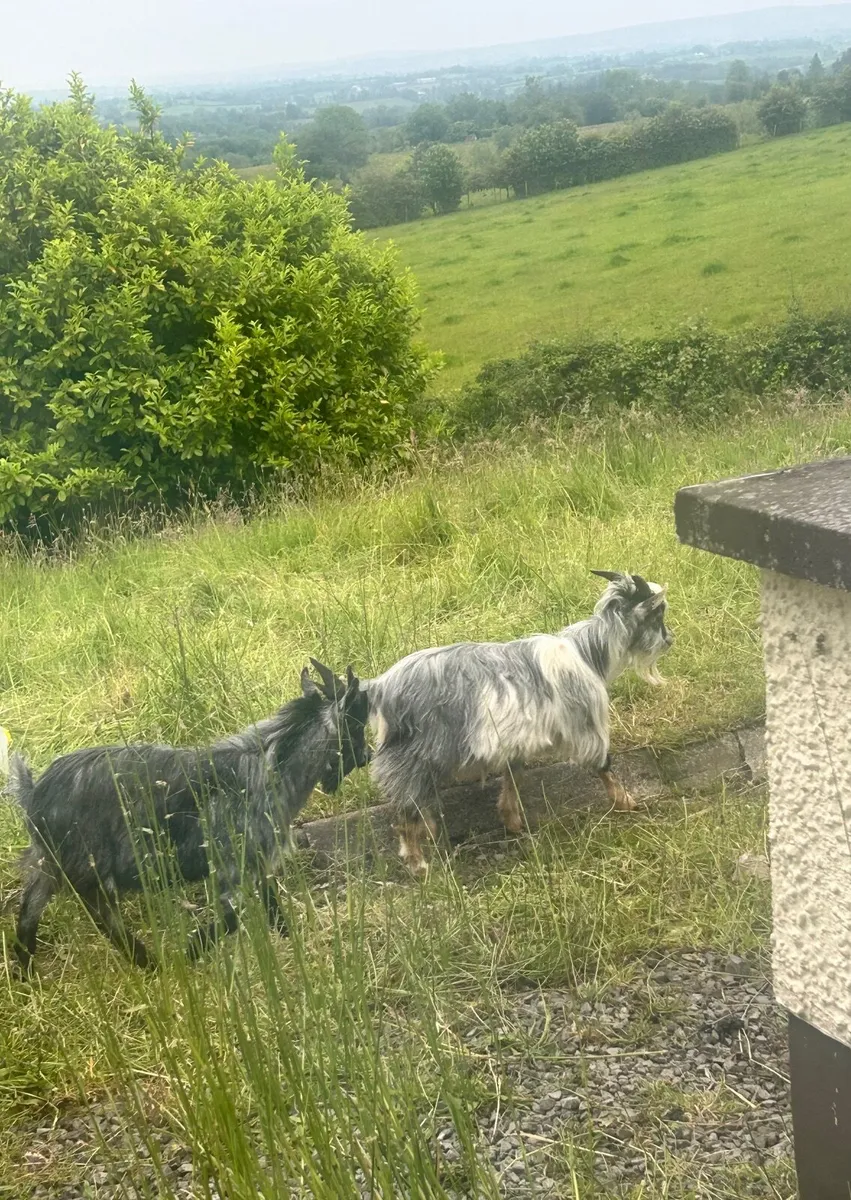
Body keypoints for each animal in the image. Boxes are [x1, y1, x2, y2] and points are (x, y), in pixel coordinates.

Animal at [8, 660, 369, 971]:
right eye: (356, 724)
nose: (367, 756)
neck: (270, 767)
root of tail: (34, 795)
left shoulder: (257, 864)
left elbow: (272, 908)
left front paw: (294, 947)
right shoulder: (231, 869)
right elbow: (232, 919)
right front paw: (189, 954)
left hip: (49, 865)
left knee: (29, 911)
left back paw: (27, 972)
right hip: (90, 870)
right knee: (104, 919)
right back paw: (150, 964)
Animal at [366, 571, 672, 875]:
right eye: (658, 613)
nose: (670, 640)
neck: (589, 653)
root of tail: (379, 688)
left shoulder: (516, 737)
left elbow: (514, 776)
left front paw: (512, 820)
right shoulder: (585, 725)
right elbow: (604, 765)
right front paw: (625, 801)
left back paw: (427, 833)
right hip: (414, 757)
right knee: (405, 813)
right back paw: (418, 864)